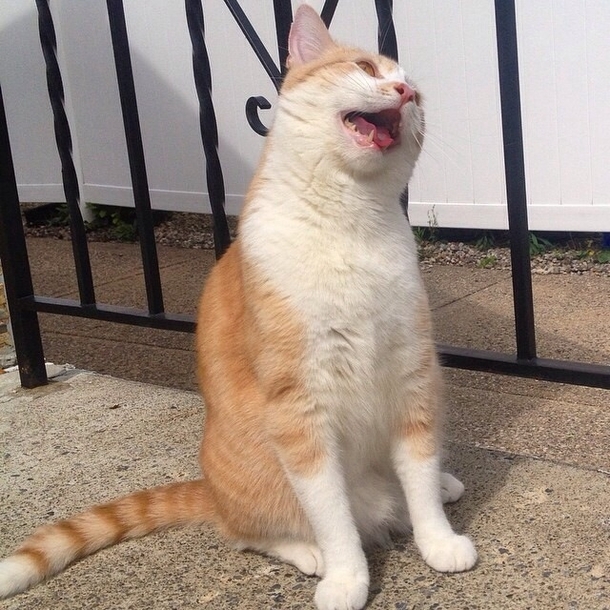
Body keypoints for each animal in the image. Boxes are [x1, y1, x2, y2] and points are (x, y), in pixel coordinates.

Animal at [0, 5, 476, 608]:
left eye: (419, 95)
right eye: (367, 67)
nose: (406, 90)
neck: (351, 222)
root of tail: (209, 488)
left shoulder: (414, 376)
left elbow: (418, 476)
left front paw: (437, 538)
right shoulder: (299, 410)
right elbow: (332, 514)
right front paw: (347, 576)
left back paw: (442, 482)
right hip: (255, 478)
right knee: (247, 531)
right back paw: (310, 554)